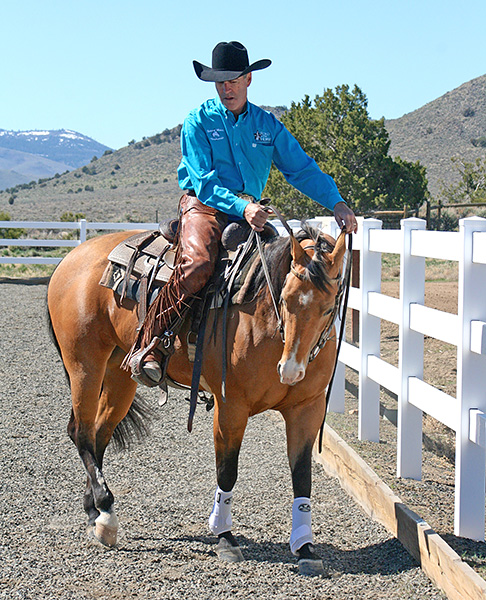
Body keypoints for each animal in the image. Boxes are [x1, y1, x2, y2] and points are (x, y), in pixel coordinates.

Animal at [47, 223, 348, 576]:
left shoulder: (307, 409)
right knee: (81, 433)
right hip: (85, 364)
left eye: (328, 307)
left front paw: (305, 547)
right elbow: (227, 471)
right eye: (285, 299)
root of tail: (73, 257)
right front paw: (225, 537)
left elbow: (302, 477)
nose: (290, 370)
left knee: (98, 435)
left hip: (119, 373)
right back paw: (106, 515)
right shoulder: (231, 407)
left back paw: (94, 512)